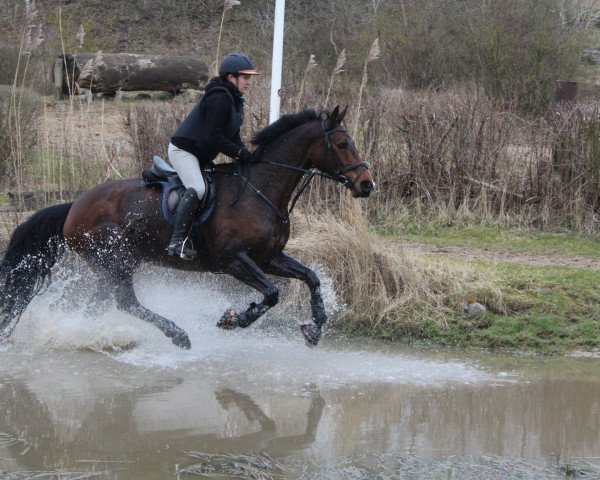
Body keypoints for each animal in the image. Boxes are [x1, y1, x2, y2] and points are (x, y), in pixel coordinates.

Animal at [0, 106, 376, 348]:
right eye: (342, 144)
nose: (367, 184)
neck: (261, 190)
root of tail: (73, 207)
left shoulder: (268, 257)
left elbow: (310, 278)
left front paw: (315, 329)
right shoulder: (234, 260)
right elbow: (272, 293)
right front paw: (234, 319)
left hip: (113, 264)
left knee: (102, 304)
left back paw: (87, 335)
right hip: (116, 260)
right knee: (126, 303)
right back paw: (177, 335)